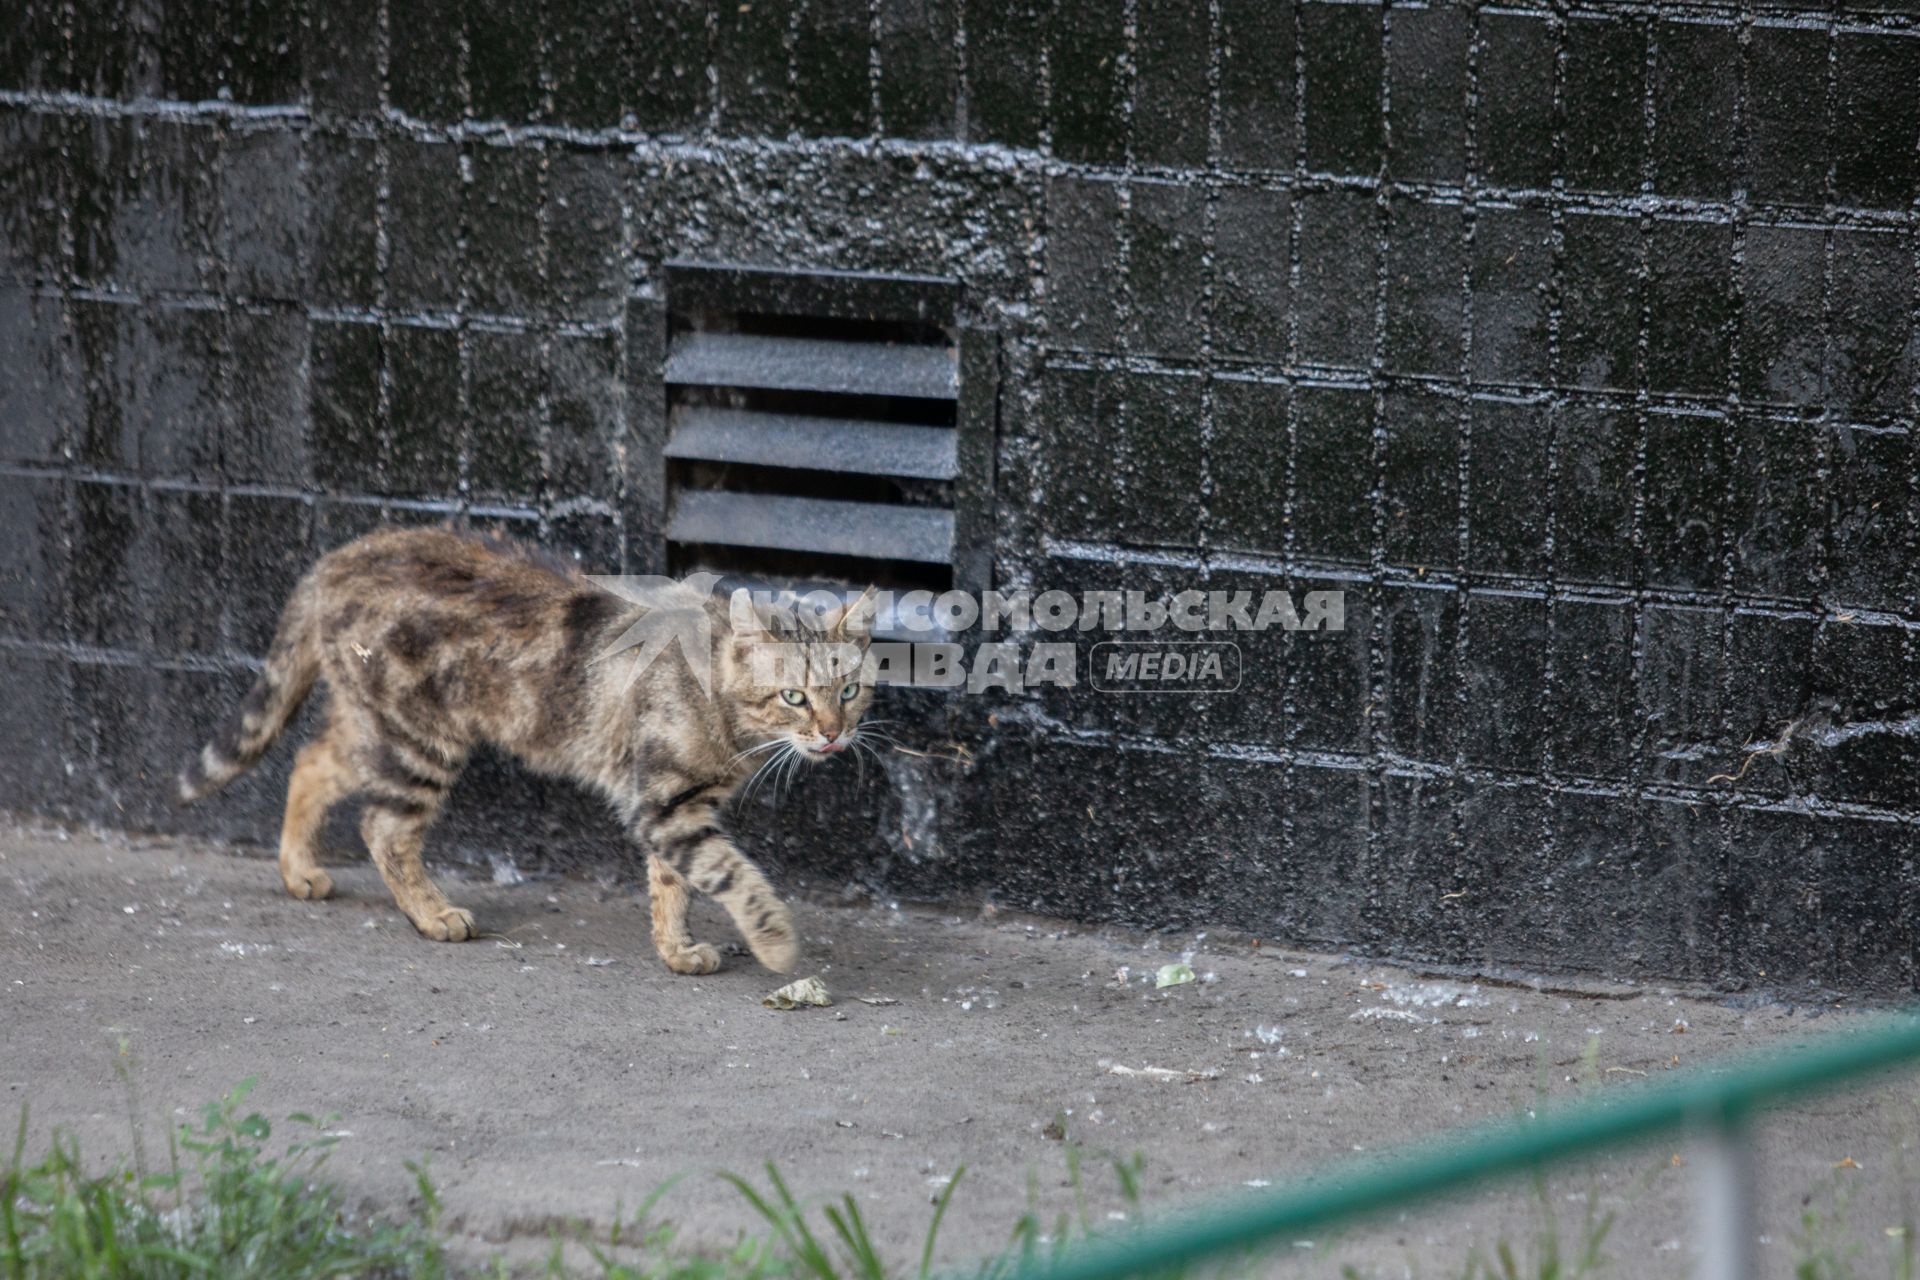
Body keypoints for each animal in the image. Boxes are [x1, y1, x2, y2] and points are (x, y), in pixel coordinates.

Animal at [176, 525, 875, 974]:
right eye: (793, 697)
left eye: (850, 690)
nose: (832, 733)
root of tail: (337, 558)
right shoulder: (664, 803)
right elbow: (733, 874)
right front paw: (776, 944)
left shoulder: (677, 803)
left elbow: (672, 882)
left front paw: (676, 951)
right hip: (418, 739)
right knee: (382, 827)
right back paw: (432, 914)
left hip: (374, 724)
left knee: (310, 762)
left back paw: (298, 870)